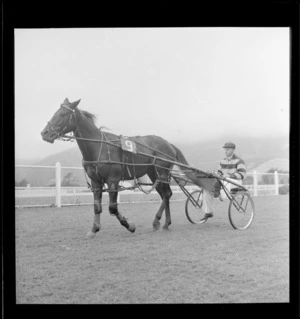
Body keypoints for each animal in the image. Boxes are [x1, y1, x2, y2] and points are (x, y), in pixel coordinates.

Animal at [40, 99, 190, 239]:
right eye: (55, 113)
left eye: (63, 114)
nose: (44, 133)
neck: (99, 148)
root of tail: (168, 143)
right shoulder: (96, 182)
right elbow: (97, 207)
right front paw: (94, 229)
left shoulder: (113, 180)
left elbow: (112, 208)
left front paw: (129, 225)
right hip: (154, 174)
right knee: (165, 194)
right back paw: (165, 223)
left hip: (162, 173)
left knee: (166, 194)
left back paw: (158, 221)